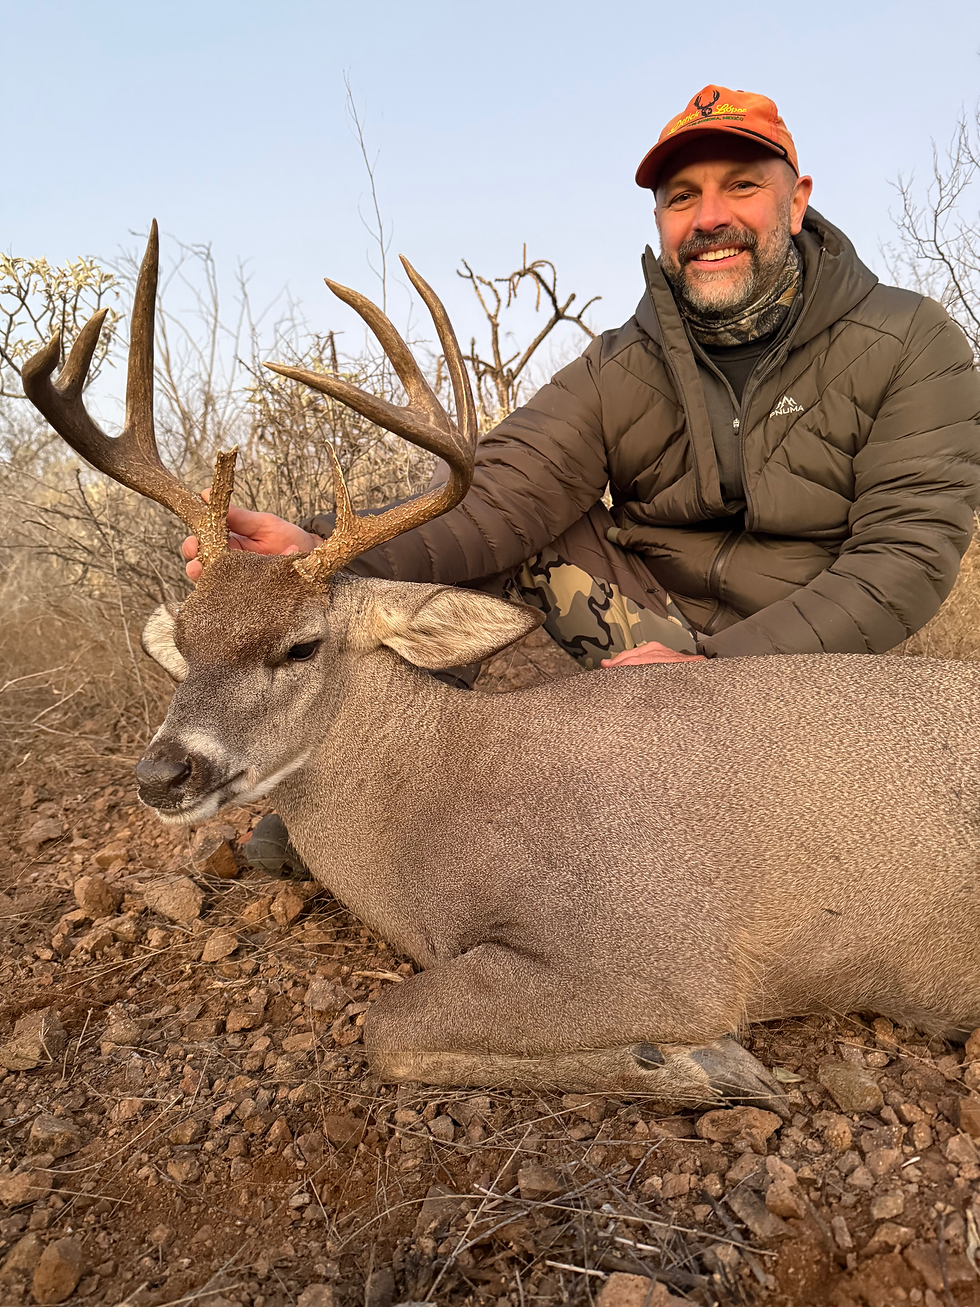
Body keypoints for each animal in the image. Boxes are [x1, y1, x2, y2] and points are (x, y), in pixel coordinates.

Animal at [22, 223, 980, 1112]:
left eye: (300, 644)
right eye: (185, 639)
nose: (162, 771)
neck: (441, 799)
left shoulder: (669, 953)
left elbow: (387, 1026)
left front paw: (702, 1066)